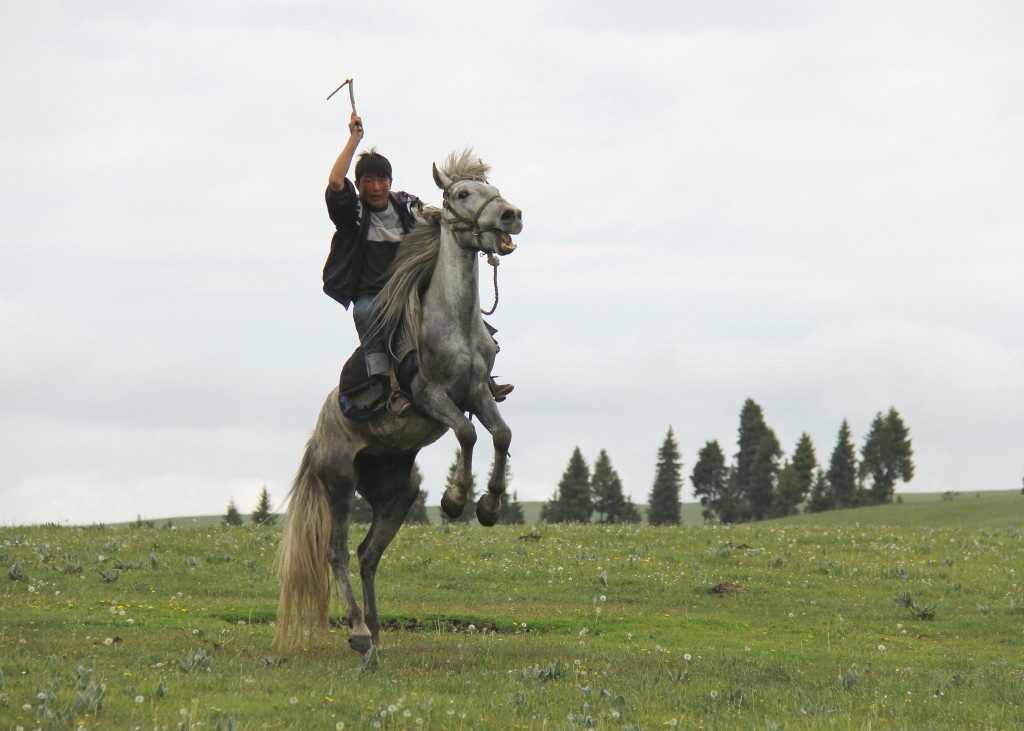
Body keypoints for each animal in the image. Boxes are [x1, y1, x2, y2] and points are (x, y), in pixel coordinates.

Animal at [276, 148, 524, 651]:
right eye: (462, 193)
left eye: (493, 189)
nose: (512, 215)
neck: (453, 322)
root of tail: (318, 435)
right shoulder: (431, 396)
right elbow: (467, 433)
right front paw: (455, 500)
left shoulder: (476, 392)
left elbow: (502, 434)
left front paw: (489, 508)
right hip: (338, 481)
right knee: (336, 552)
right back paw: (356, 631)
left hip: (397, 492)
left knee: (368, 553)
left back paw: (375, 632)